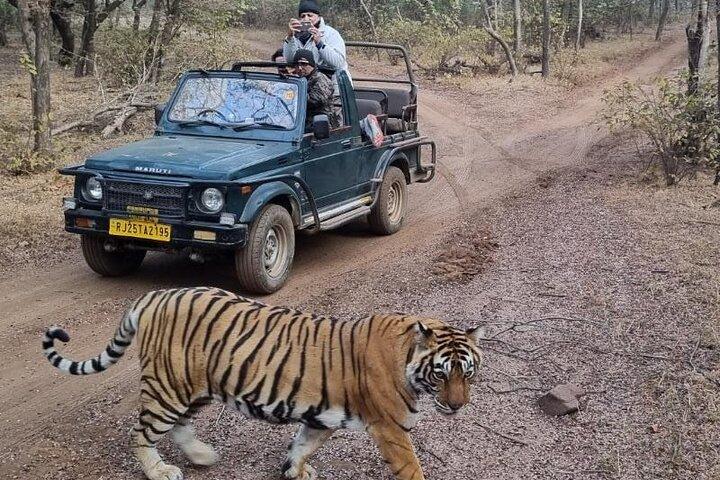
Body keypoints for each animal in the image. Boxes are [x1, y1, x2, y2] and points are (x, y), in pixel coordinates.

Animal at [42, 287, 484, 480]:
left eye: (468, 373)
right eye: (442, 373)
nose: (458, 405)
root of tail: (154, 295)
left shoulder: (322, 416)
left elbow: (302, 446)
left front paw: (294, 471)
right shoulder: (390, 427)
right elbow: (411, 467)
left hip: (194, 387)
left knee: (180, 426)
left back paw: (203, 456)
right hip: (168, 387)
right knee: (140, 433)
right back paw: (160, 471)